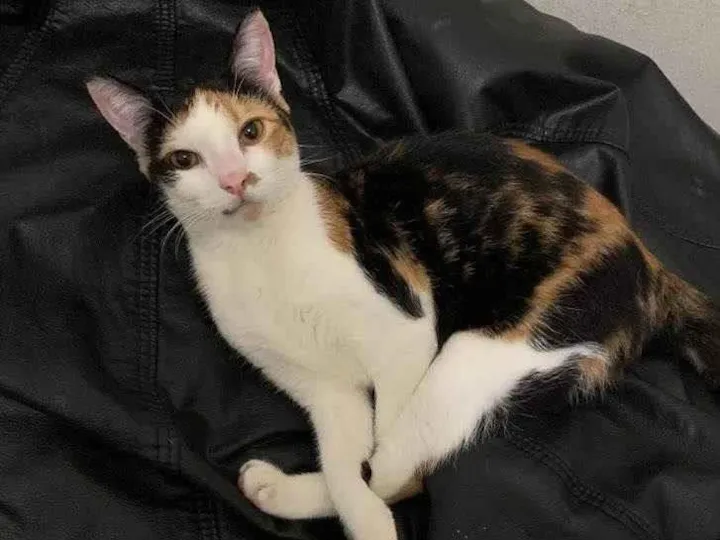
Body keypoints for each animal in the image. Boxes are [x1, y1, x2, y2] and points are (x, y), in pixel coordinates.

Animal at [86, 9, 720, 540]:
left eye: (251, 132)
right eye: (184, 160)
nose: (235, 180)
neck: (260, 253)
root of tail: (649, 263)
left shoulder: (406, 332)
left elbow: (380, 457)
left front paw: (371, 526)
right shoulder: (322, 390)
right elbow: (345, 463)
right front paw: (351, 506)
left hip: (481, 352)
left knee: (402, 466)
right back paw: (277, 490)